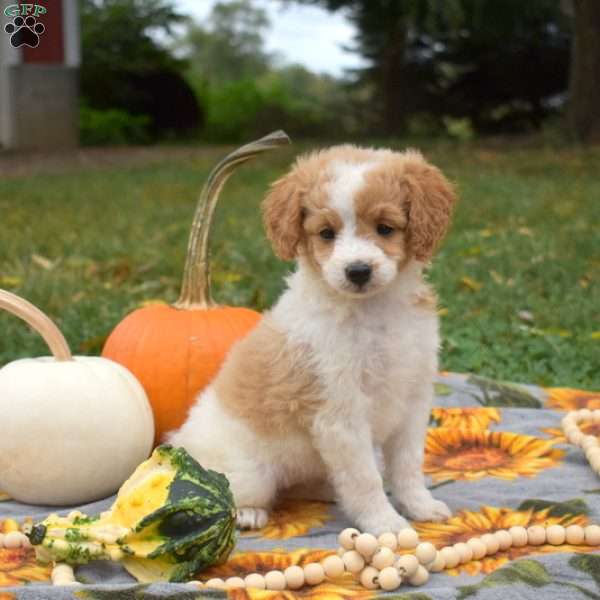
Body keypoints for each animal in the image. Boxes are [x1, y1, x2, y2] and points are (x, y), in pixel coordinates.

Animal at [171, 145, 458, 536]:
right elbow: (365, 478)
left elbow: (408, 465)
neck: (373, 311)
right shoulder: (341, 414)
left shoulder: (413, 399)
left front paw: (419, 506)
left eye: (385, 228)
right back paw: (249, 512)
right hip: (249, 471)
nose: (357, 271)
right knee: (234, 493)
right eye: (326, 233)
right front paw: (386, 524)